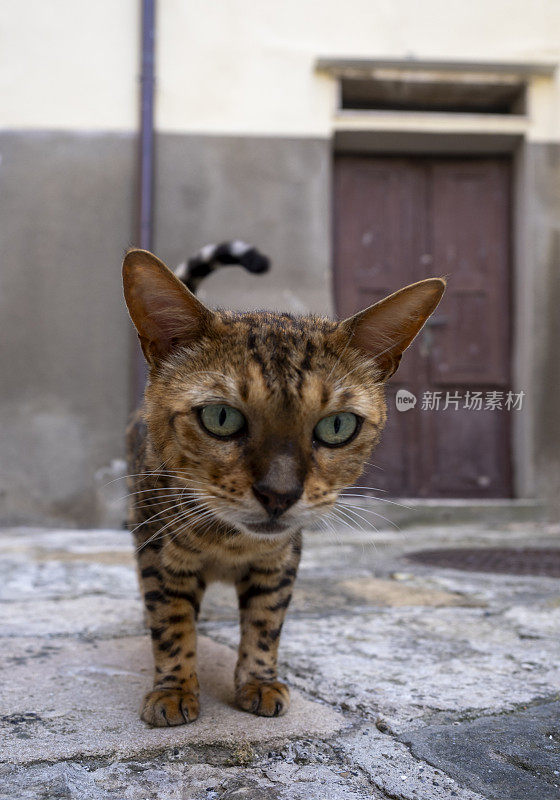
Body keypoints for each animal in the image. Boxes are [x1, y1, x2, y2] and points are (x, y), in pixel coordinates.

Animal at [123, 244, 446, 724]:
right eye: (221, 417)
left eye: (337, 426)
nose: (280, 494)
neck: (230, 543)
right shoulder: (159, 550)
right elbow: (171, 622)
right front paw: (174, 690)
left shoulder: (281, 559)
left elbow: (265, 620)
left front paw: (259, 681)